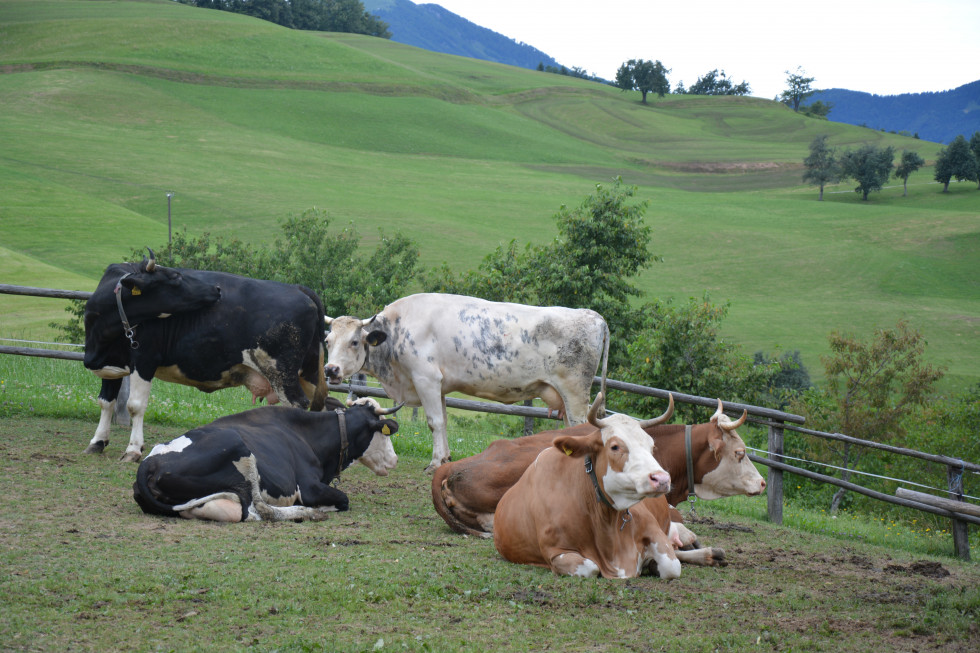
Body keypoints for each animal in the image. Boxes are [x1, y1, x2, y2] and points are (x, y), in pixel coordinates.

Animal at [84, 252, 330, 460]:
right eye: (176, 277)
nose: (217, 290)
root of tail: (299, 288)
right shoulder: (111, 365)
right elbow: (105, 402)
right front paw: (97, 441)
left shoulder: (144, 360)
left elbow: (135, 405)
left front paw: (133, 449)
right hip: (308, 373)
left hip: (282, 372)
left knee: (297, 406)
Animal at [134, 394, 402, 524]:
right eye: (384, 431)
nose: (395, 459)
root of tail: (149, 463)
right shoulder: (309, 487)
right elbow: (343, 500)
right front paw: (320, 508)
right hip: (239, 448)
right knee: (259, 510)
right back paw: (308, 513)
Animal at [326, 292, 608, 472]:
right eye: (327, 341)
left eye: (354, 341)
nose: (330, 369)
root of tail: (593, 316)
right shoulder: (439, 385)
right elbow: (442, 420)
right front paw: (445, 458)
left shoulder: (425, 379)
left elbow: (434, 422)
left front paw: (434, 463)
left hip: (574, 392)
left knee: (581, 426)